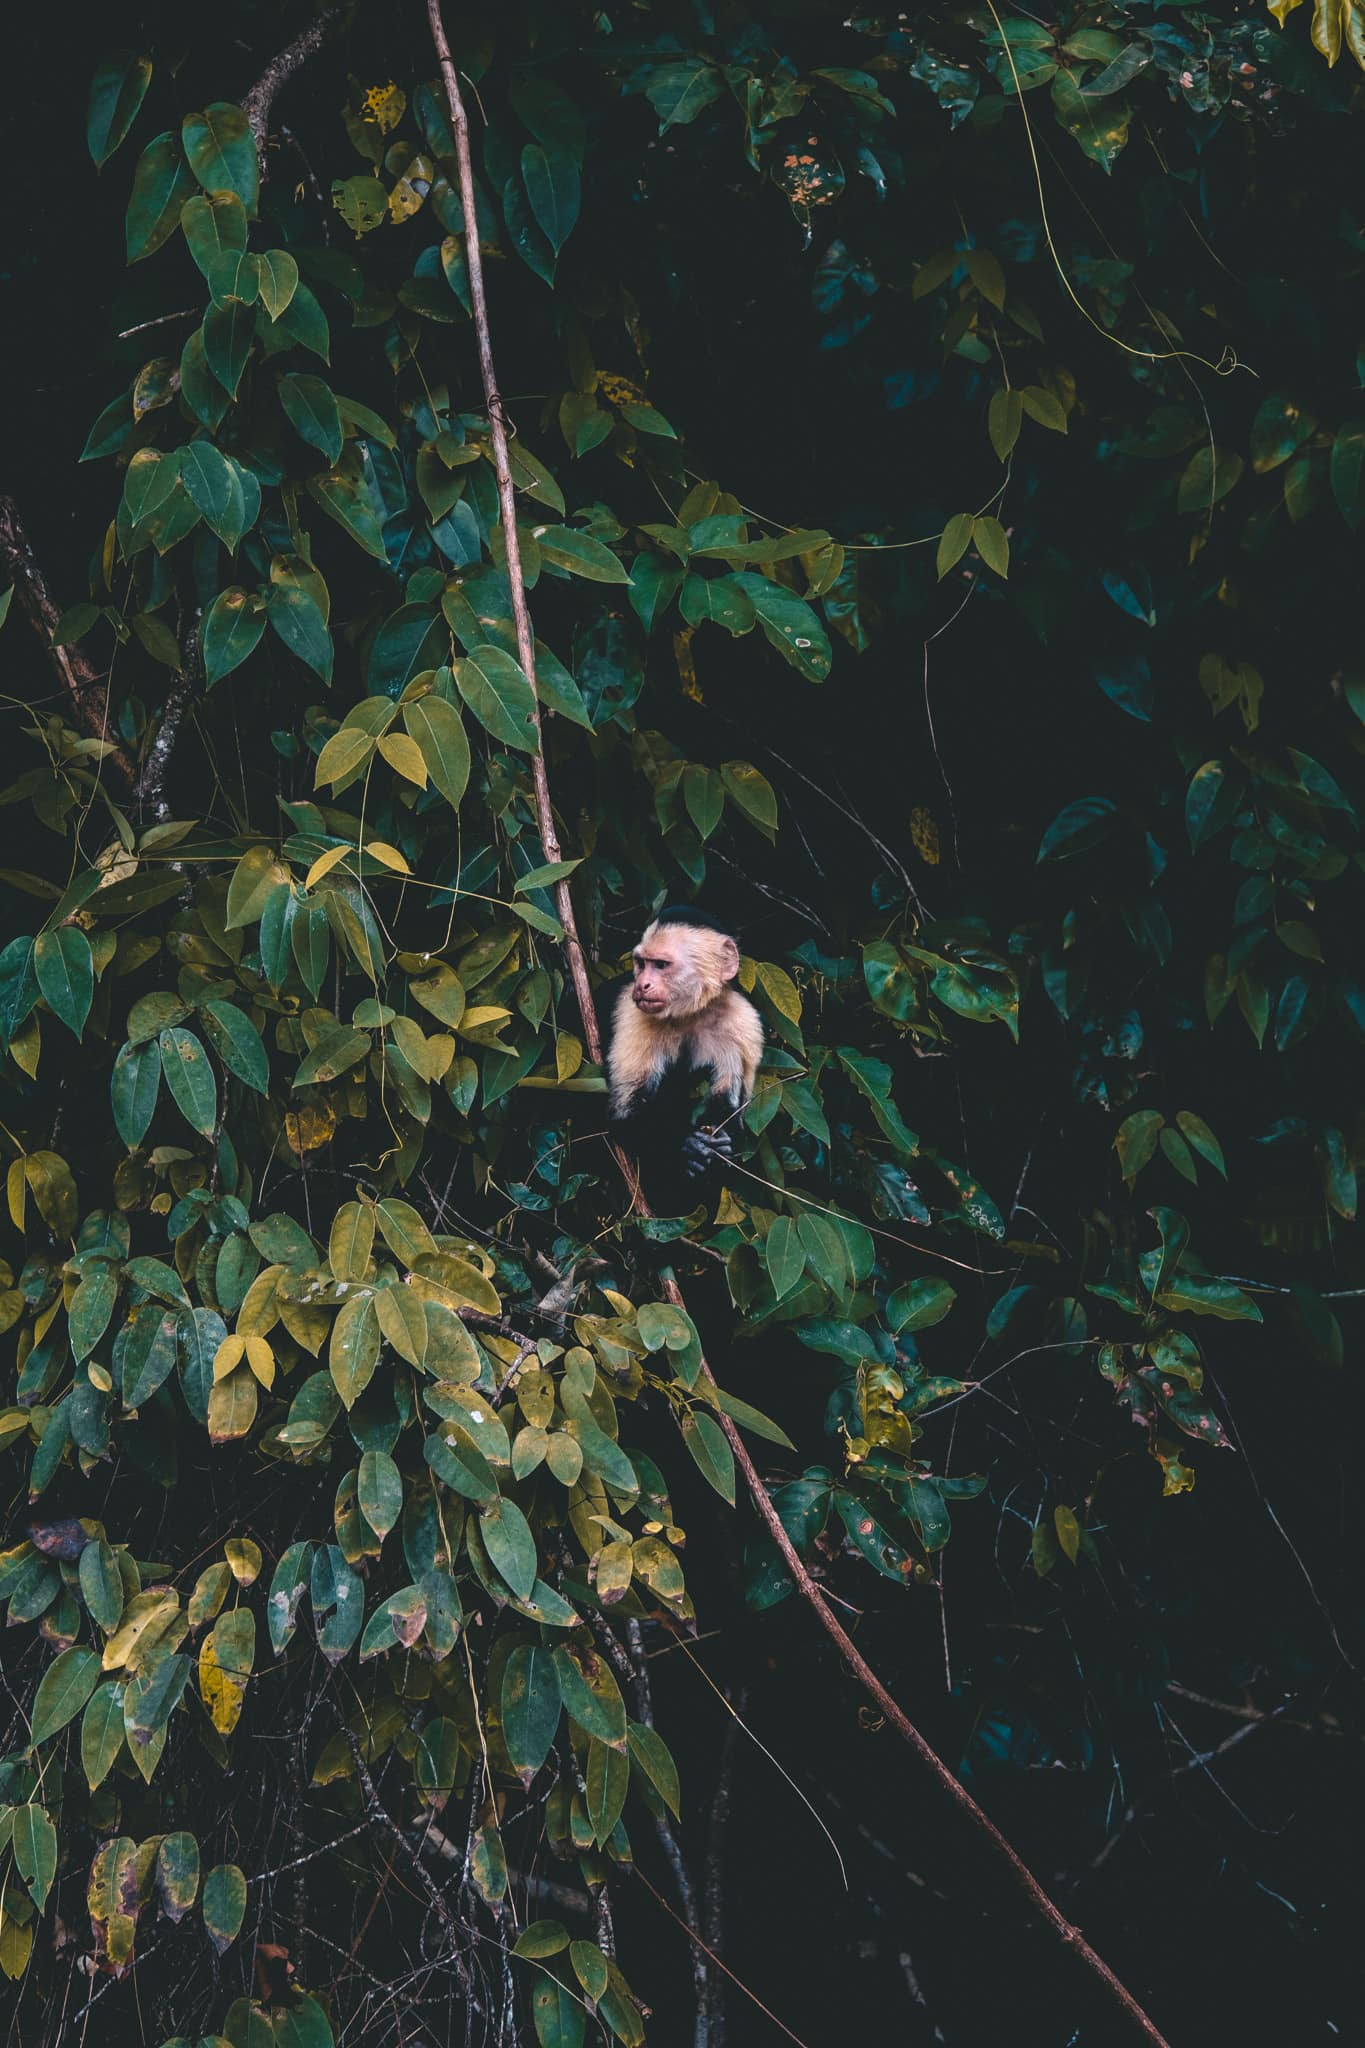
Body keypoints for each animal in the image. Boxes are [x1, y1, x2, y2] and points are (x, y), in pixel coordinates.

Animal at [597, 907, 764, 1213]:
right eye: (641, 963)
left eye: (661, 965)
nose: (643, 984)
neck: (690, 1013)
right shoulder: (633, 1012)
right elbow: (626, 1111)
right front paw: (687, 1149)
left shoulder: (744, 1022)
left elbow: (729, 1108)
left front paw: (723, 1148)